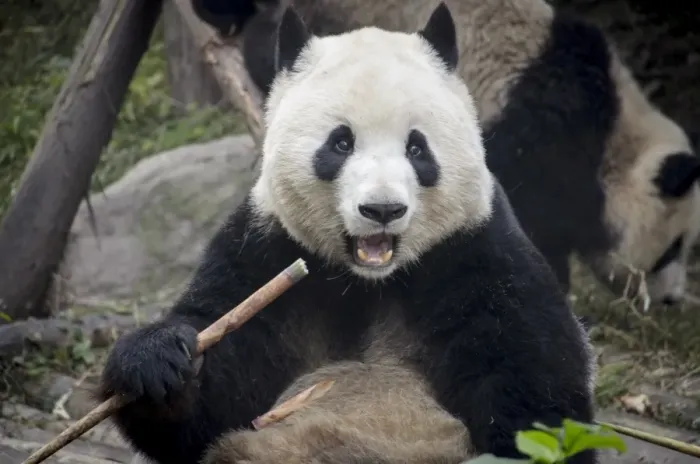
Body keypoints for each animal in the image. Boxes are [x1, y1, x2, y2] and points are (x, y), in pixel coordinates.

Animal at [99, 4, 596, 464]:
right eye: (341, 143)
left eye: (417, 148)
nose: (383, 209)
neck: (368, 283)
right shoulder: (265, 250)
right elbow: (212, 405)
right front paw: (160, 361)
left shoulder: (478, 254)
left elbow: (534, 391)